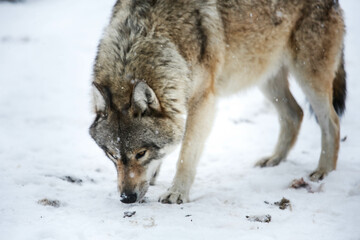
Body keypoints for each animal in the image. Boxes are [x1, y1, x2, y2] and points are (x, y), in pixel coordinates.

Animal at [88, 0, 346, 204]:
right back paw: (274, 160)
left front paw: (176, 193)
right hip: (265, 75)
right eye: (111, 155)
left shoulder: (203, 101)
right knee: (295, 113)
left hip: (308, 75)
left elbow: (186, 154)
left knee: (331, 121)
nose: (126, 198)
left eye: (140, 154)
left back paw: (324, 171)